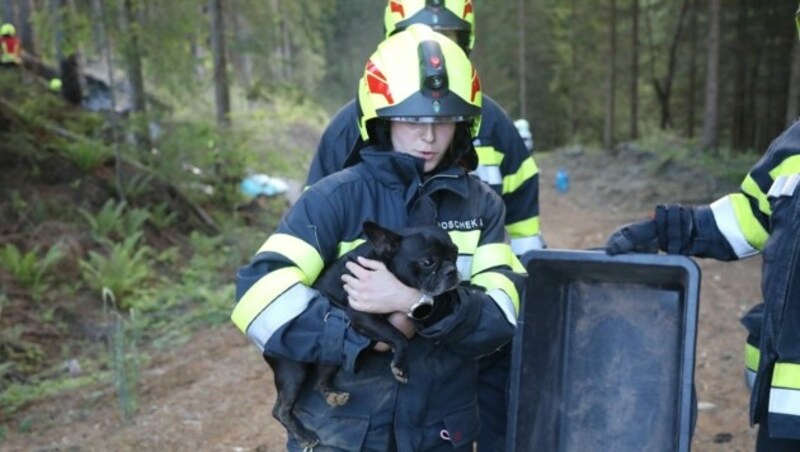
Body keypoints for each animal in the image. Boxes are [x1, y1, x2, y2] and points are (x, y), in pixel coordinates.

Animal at [266, 221, 460, 446]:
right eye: (428, 262)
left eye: (455, 253)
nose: (452, 270)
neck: (384, 262)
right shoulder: (362, 315)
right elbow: (399, 337)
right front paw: (400, 366)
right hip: (293, 371)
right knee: (280, 409)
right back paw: (304, 436)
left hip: (329, 358)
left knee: (320, 382)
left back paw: (333, 395)